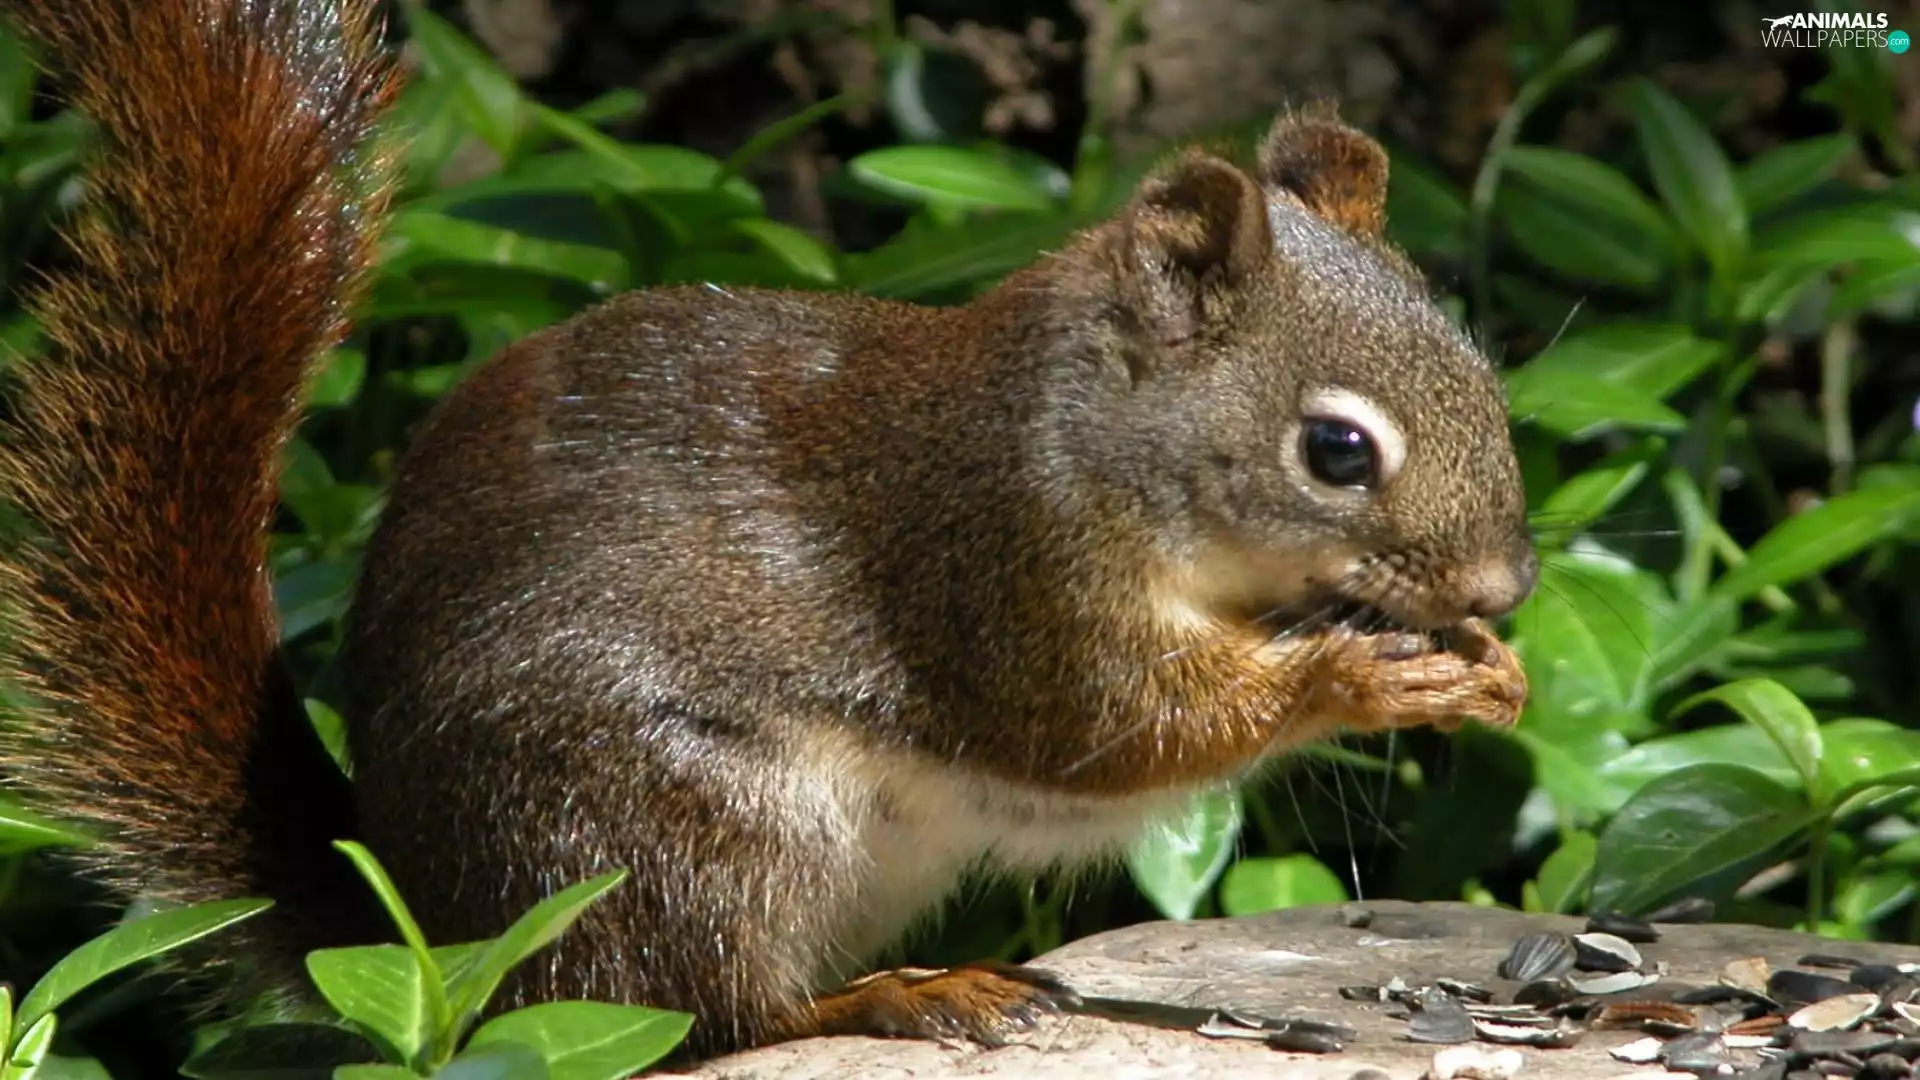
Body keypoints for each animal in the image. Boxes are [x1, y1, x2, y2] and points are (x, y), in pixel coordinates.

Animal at [0, 0, 1536, 1063]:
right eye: (1336, 450)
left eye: (1482, 365)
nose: (1508, 586)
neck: (1092, 432)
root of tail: (440, 924)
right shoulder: (1003, 568)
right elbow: (1117, 732)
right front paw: (1367, 673)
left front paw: (1492, 675)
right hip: (676, 825)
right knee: (694, 1012)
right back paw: (897, 995)